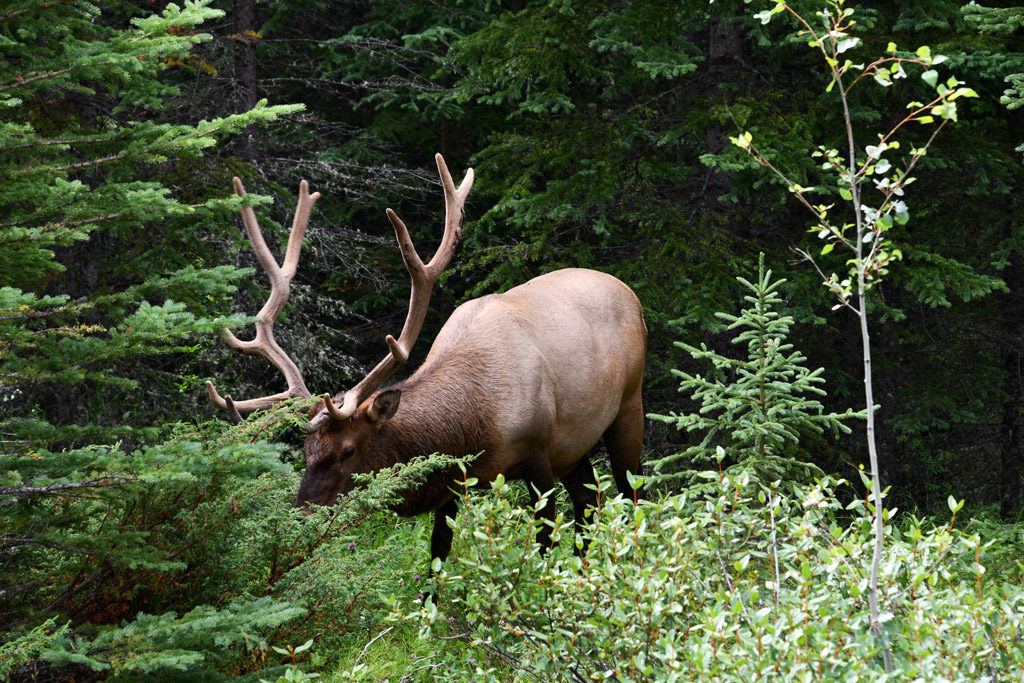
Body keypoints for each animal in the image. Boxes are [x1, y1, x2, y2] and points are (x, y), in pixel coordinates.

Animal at [203, 154, 643, 565]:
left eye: (347, 451)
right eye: (306, 452)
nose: (300, 517)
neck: (476, 430)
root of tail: (630, 293)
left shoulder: (538, 454)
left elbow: (545, 545)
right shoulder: (453, 483)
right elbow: (437, 556)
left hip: (628, 406)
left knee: (631, 495)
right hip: (575, 447)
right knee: (588, 505)